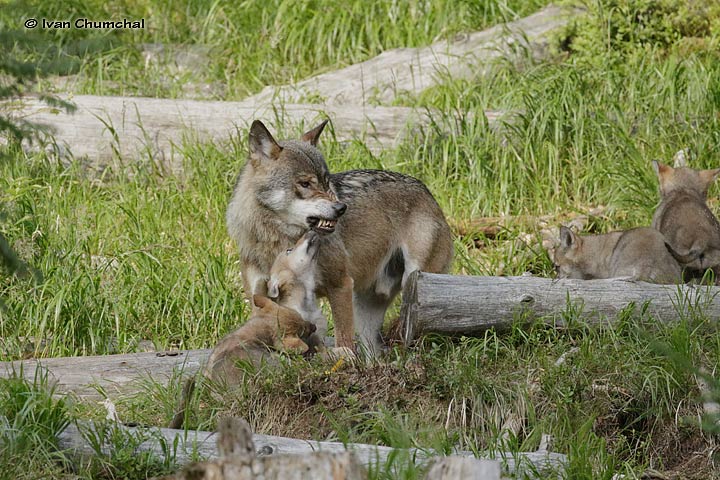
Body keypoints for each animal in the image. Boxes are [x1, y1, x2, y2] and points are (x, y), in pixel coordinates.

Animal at [226, 120, 450, 352]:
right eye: (305, 184)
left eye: (326, 182)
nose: (341, 208)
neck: (277, 240)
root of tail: (427, 191)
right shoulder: (259, 298)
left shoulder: (340, 285)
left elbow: (344, 341)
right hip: (366, 315)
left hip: (416, 289)